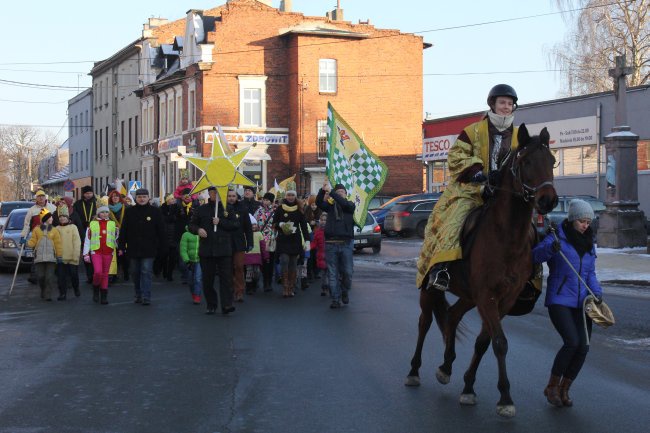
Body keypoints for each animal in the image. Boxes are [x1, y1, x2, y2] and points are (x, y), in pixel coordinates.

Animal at [402, 123, 556, 416]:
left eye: (552, 161)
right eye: (526, 161)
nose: (548, 201)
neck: (506, 236)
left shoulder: (504, 298)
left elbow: (486, 341)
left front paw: (469, 386)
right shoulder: (487, 295)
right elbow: (500, 342)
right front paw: (505, 397)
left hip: (468, 295)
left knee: (452, 316)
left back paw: (446, 366)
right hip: (430, 287)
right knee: (424, 322)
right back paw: (414, 371)